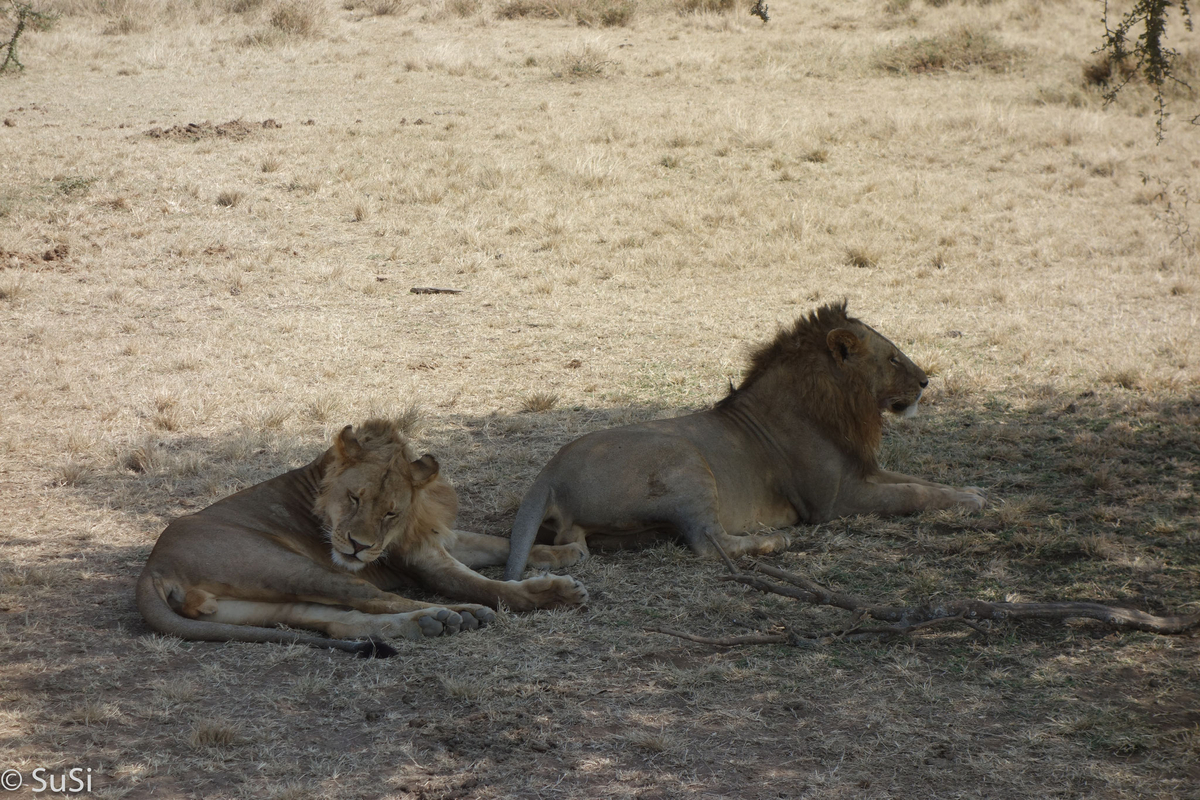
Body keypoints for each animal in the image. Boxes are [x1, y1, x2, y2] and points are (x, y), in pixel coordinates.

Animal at [138, 419, 588, 657]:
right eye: (354, 498)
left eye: (390, 511)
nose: (359, 546)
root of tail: (152, 569)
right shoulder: (423, 562)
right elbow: (488, 586)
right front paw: (553, 590)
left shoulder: (436, 537)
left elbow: (499, 544)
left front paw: (566, 551)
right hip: (288, 565)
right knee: (378, 599)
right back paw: (458, 615)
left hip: (256, 605)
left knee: (340, 623)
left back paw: (428, 624)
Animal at [504, 299, 984, 582]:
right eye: (893, 358)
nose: (925, 382)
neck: (835, 406)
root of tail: (549, 473)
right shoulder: (836, 502)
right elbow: (911, 494)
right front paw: (971, 501)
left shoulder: (864, 471)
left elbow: (921, 482)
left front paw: (971, 492)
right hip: (685, 461)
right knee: (707, 543)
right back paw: (774, 542)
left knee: (577, 548)